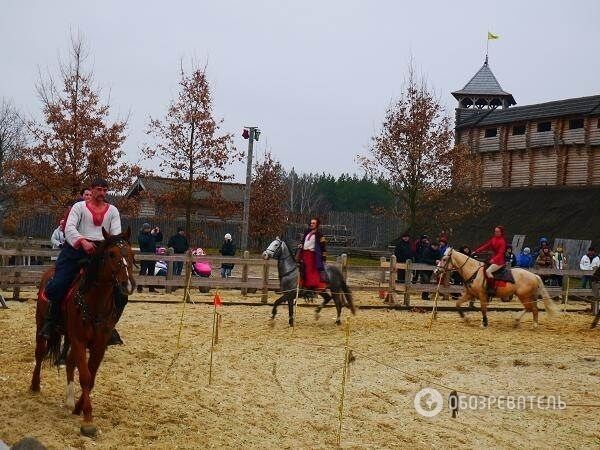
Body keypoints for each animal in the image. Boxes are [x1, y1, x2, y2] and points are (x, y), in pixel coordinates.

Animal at [30, 229, 136, 436]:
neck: (94, 302)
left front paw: (79, 407)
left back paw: (70, 400)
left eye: (130, 253)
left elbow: (91, 377)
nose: (127, 284)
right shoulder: (79, 340)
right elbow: (85, 377)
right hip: (41, 327)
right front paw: (88, 420)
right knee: (40, 354)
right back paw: (35, 385)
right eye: (111, 254)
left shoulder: (98, 344)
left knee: (70, 362)